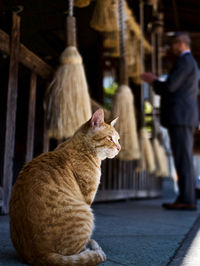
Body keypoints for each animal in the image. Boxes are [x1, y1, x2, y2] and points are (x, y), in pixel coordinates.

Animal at [9, 109, 120, 264]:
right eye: (110, 138)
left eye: (118, 139)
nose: (119, 148)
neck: (81, 148)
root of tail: (37, 255)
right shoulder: (87, 198)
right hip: (86, 212)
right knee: (78, 253)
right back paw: (92, 248)